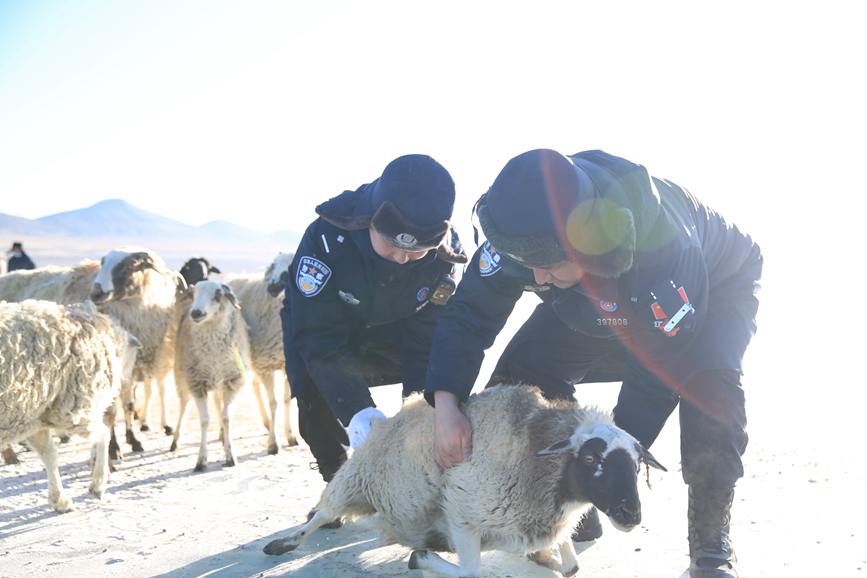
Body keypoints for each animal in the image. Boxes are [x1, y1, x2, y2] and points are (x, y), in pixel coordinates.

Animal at [170, 276, 251, 470]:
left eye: (218, 294)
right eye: (194, 294)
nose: (196, 313)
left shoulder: (232, 382)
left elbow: (227, 418)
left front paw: (230, 456)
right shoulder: (197, 383)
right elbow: (205, 420)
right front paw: (201, 460)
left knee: (218, 406)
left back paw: (222, 436)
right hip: (181, 376)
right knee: (184, 405)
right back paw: (175, 440)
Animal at [227, 251, 298, 450]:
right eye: (273, 265)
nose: (272, 287)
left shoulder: (288, 365)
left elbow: (287, 399)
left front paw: (290, 436)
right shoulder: (265, 365)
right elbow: (273, 402)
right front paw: (273, 444)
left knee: (254, 385)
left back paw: (267, 423)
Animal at [262, 382, 664, 576]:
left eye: (636, 464)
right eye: (591, 458)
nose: (631, 514)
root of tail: (401, 410)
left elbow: (572, 566)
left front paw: (545, 558)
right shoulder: (463, 515)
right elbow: (469, 572)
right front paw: (420, 560)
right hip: (354, 479)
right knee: (321, 515)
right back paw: (284, 544)